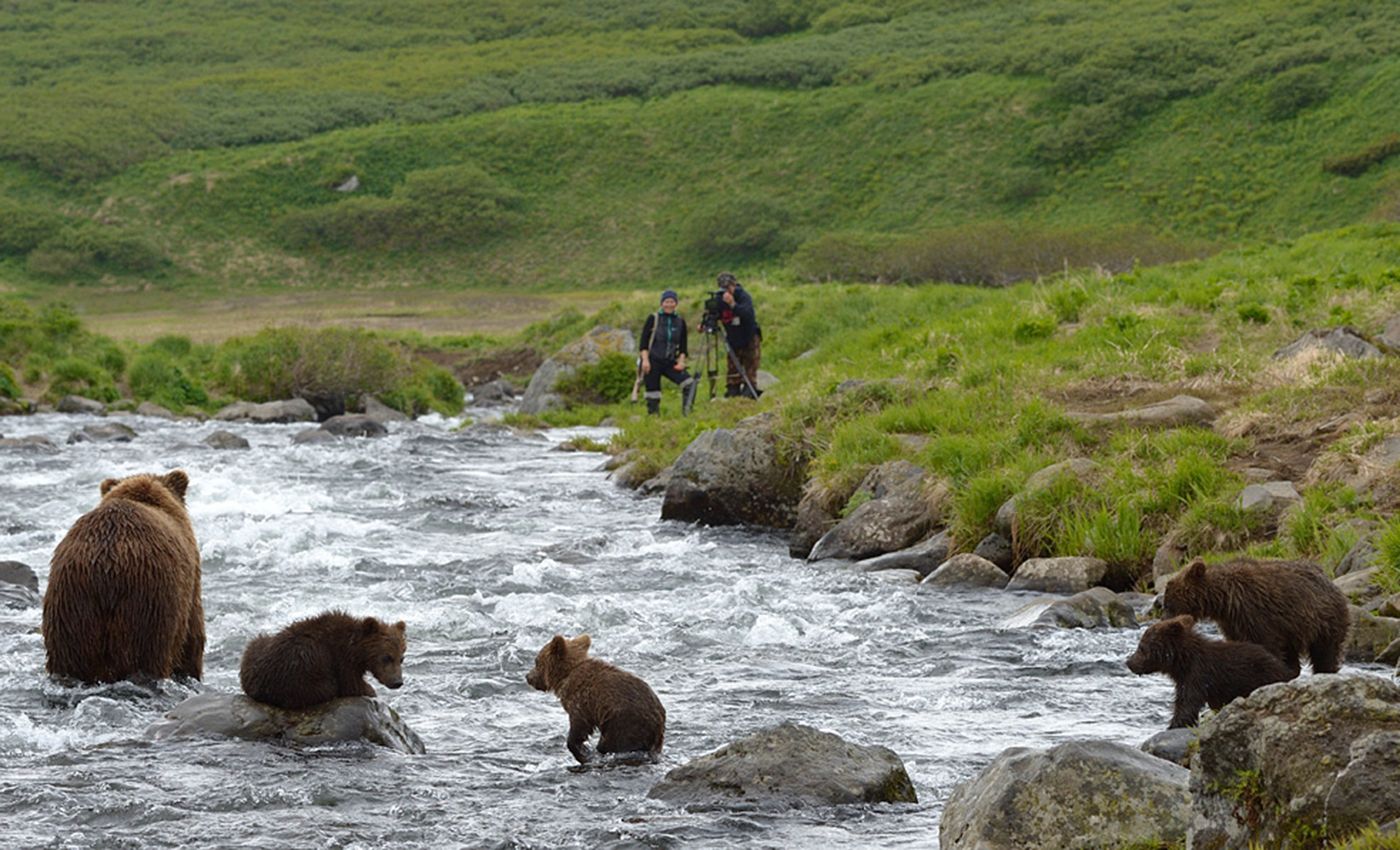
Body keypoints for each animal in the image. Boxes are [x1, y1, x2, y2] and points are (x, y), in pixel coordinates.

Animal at [239, 610, 406, 711]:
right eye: (386, 657)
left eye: (401, 658)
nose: (397, 682)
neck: (356, 649)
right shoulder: (341, 660)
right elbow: (352, 685)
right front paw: (371, 691)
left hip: (257, 646)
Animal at [526, 632, 663, 767]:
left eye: (536, 661)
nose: (528, 677)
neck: (566, 675)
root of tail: (659, 724)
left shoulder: (580, 701)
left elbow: (579, 726)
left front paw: (582, 752)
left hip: (624, 725)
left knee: (611, 745)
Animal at [1125, 616, 1288, 728]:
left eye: (1141, 647)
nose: (1129, 662)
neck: (1183, 662)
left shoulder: (1198, 675)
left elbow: (1187, 703)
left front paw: (1174, 725)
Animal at [1159, 560, 1344, 677]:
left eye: (1168, 604)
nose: (1164, 620)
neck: (1224, 601)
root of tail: (1331, 581)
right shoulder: (1232, 624)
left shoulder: (1255, 615)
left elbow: (1267, 645)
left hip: (1323, 621)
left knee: (1325, 653)